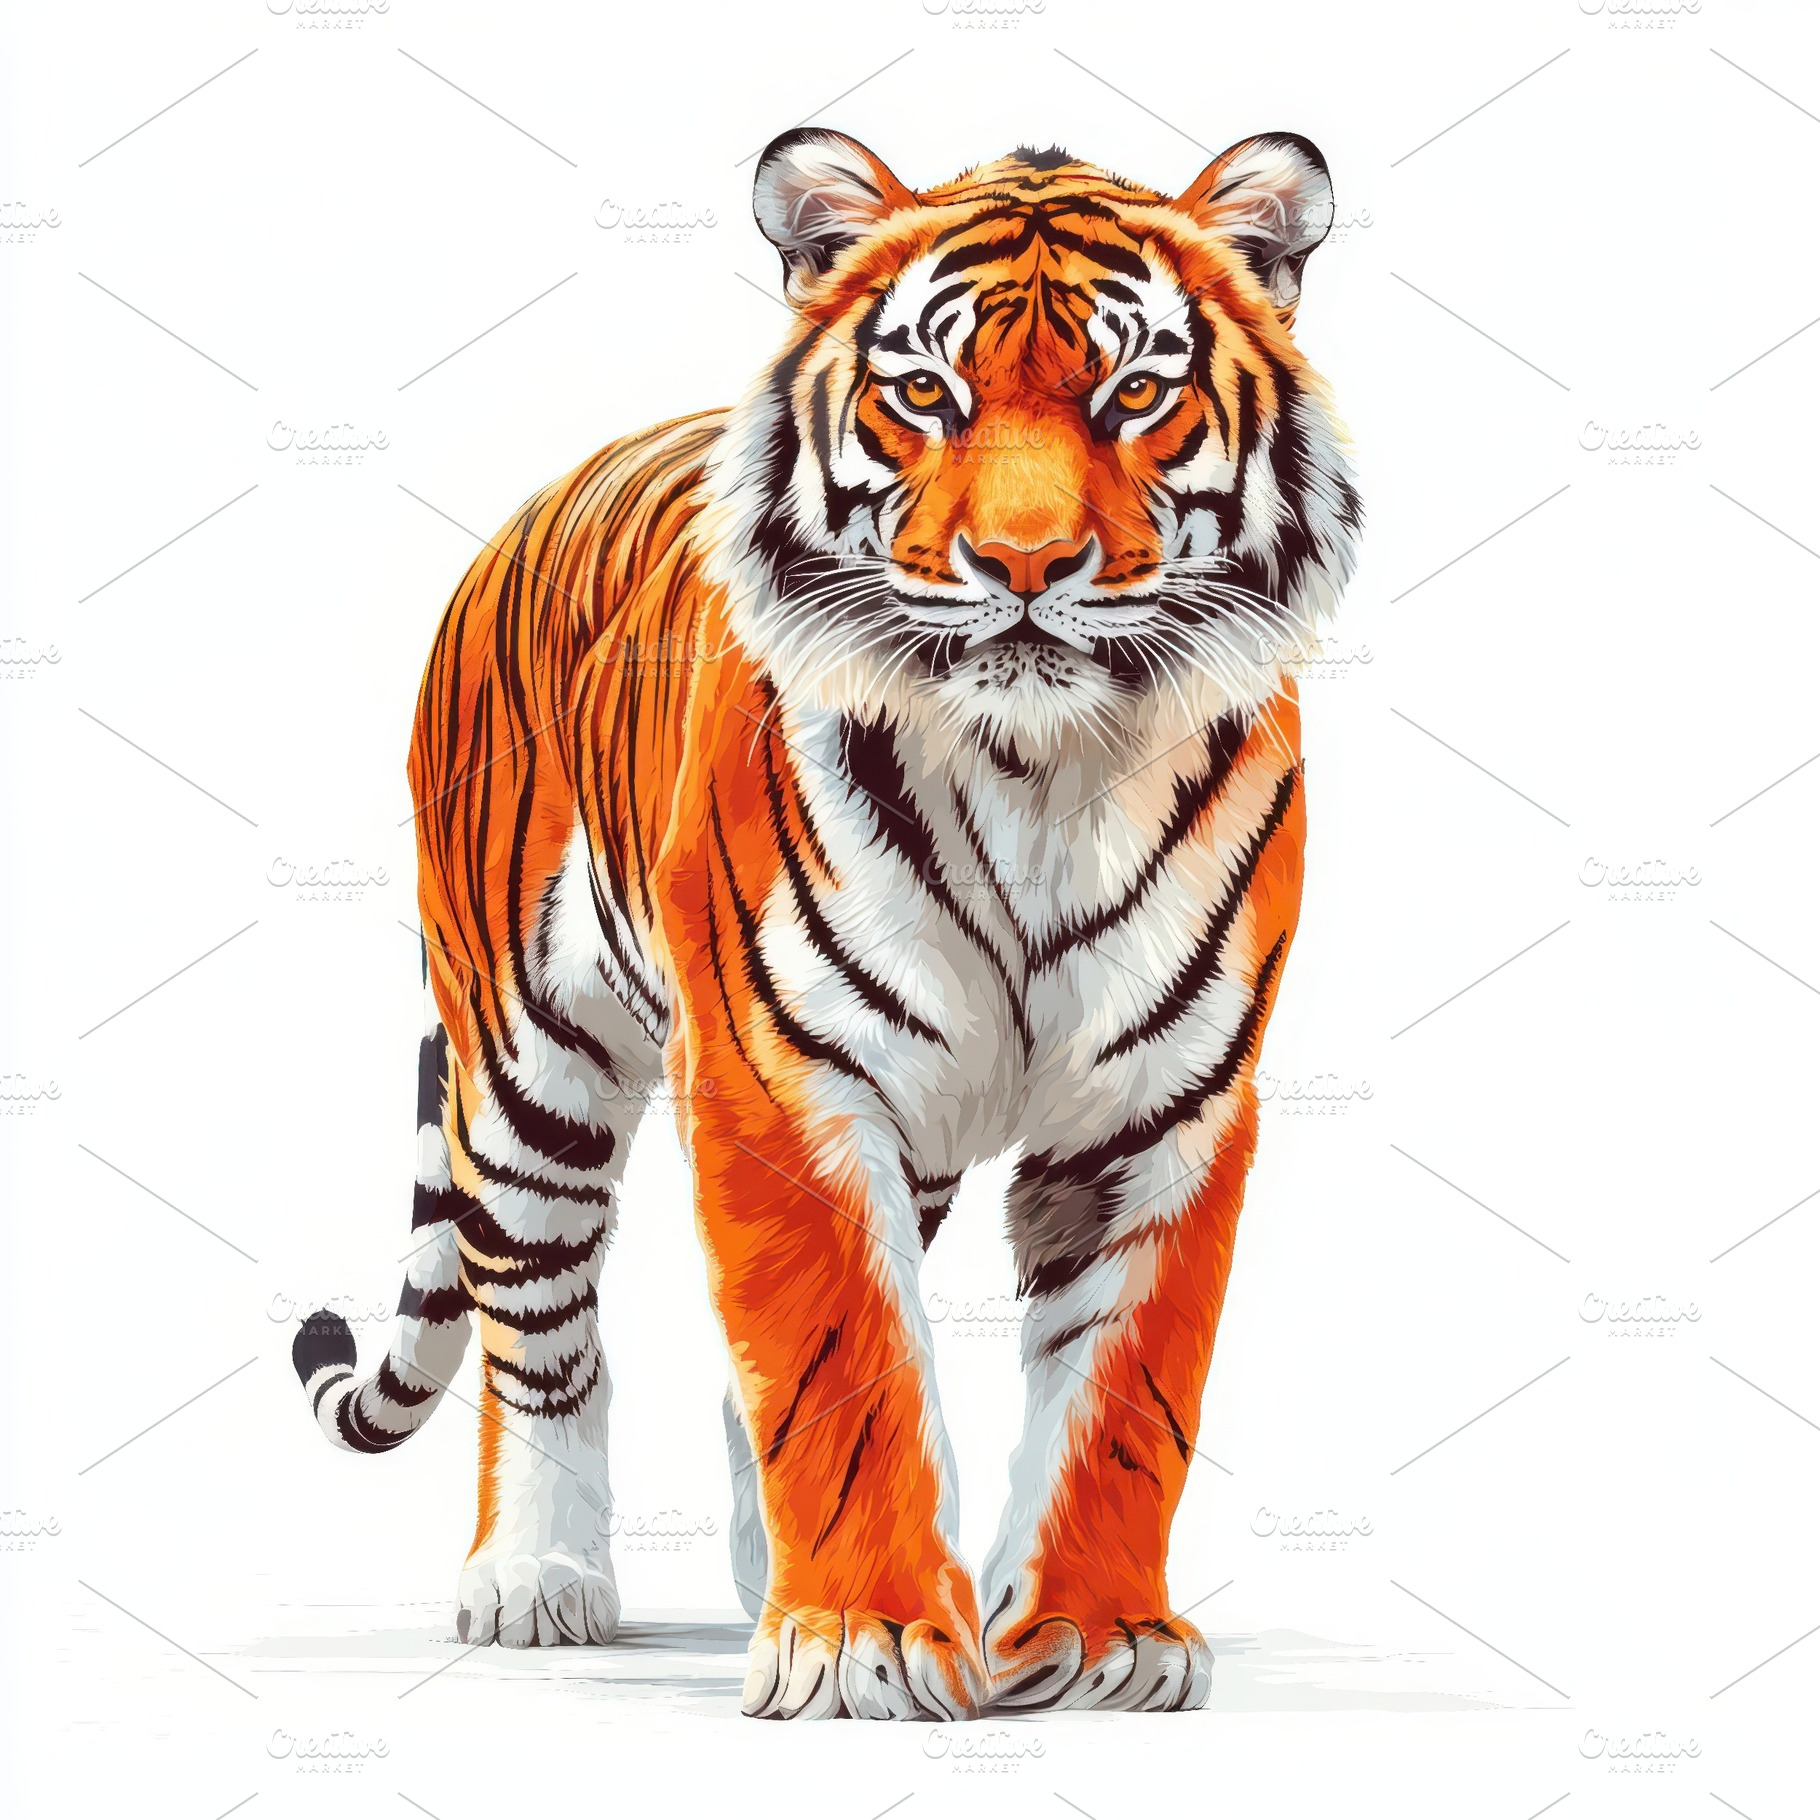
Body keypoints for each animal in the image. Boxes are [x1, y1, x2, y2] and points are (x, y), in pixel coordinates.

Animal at [292, 126, 1361, 1720]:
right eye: (924, 394)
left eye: (1134, 394)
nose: (1025, 565)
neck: (1032, 770)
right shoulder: (781, 1079)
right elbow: (842, 1362)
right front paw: (862, 1640)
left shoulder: (1162, 1106)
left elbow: (1122, 1387)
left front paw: (1099, 1639)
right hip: (527, 1062)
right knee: (536, 1333)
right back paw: (535, 1580)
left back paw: (751, 1582)